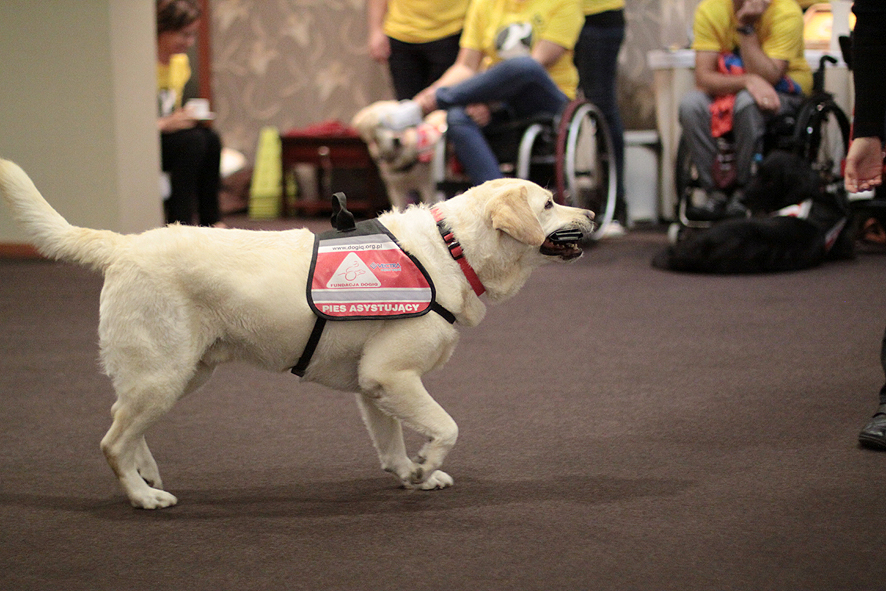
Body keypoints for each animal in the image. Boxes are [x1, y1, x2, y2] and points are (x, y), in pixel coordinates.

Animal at [3, 160, 596, 512]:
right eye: (548, 204)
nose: (591, 212)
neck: (452, 250)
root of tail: (123, 245)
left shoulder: (375, 386)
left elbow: (392, 443)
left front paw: (411, 473)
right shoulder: (392, 375)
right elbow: (447, 427)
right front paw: (428, 465)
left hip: (182, 374)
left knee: (121, 421)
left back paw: (145, 474)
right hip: (163, 374)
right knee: (110, 440)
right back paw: (142, 497)